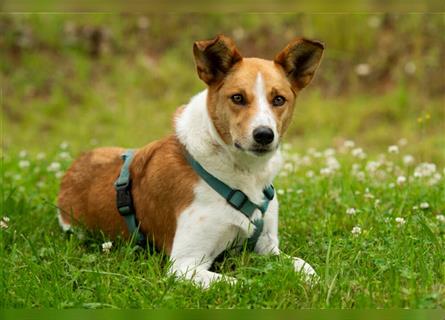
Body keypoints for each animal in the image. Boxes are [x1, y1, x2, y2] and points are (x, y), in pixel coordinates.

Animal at [58, 35, 322, 288]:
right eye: (237, 98)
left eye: (278, 100)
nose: (264, 135)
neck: (243, 174)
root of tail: (71, 169)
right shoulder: (184, 266)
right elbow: (240, 284)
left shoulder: (268, 247)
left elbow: (304, 265)